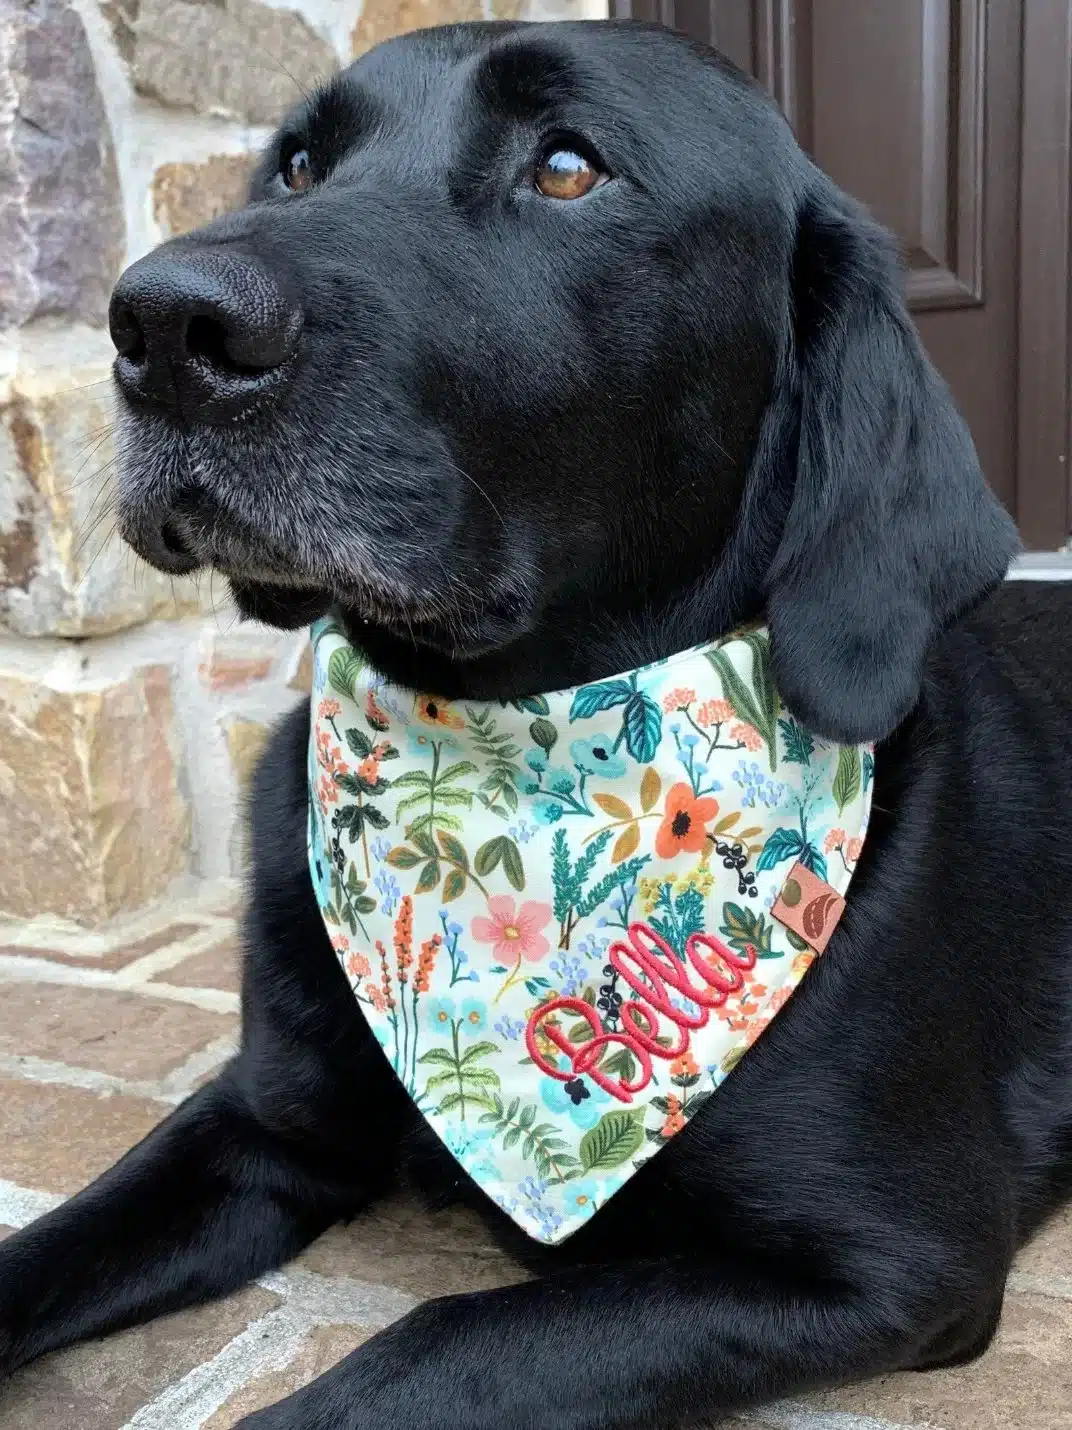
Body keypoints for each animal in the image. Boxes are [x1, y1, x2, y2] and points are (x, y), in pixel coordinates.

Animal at [2, 22, 1072, 1430]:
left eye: (567, 168)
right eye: (294, 165)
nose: (163, 322)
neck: (501, 742)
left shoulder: (895, 1254)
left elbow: (431, 1348)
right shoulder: (261, 1128)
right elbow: (43, 1244)